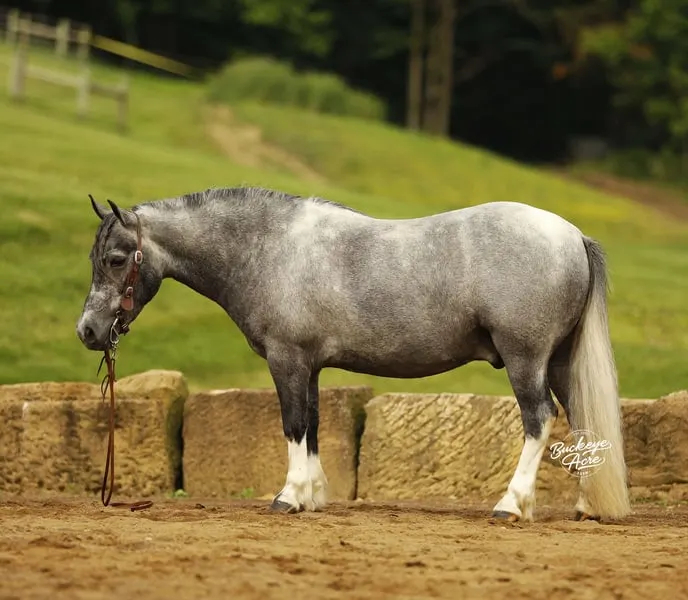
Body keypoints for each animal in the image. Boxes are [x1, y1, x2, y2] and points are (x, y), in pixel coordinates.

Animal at [76, 185, 631, 522]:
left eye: (117, 259)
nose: (88, 331)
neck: (268, 248)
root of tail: (571, 235)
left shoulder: (287, 360)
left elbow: (293, 424)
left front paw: (289, 497)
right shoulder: (310, 366)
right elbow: (314, 425)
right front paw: (313, 496)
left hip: (526, 359)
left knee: (540, 419)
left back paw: (511, 505)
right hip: (558, 362)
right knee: (580, 420)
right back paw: (587, 505)